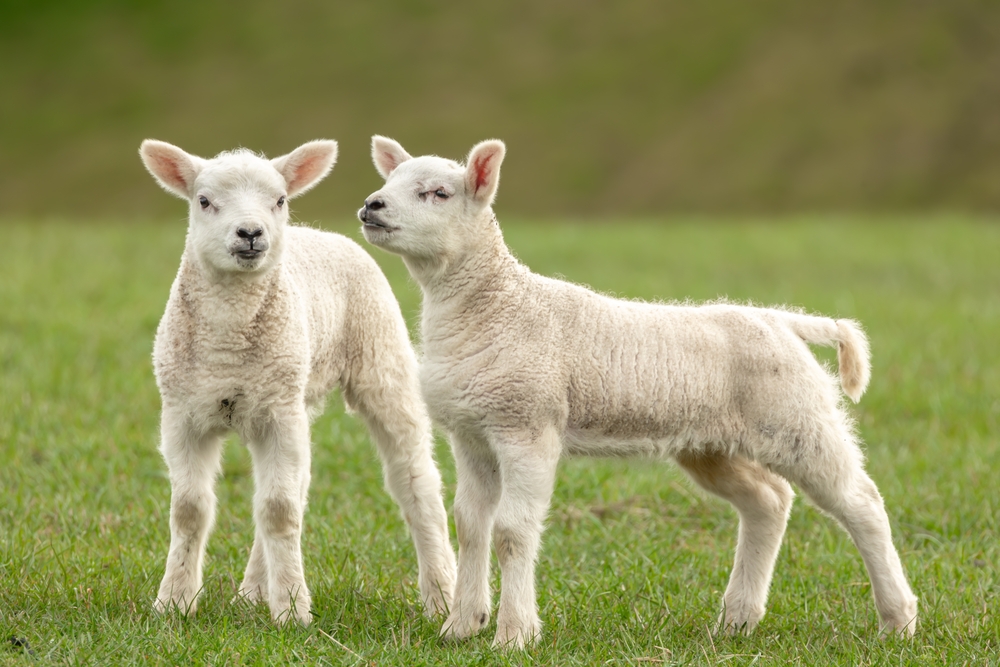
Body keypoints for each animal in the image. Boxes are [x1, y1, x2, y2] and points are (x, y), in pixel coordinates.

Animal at [138, 139, 456, 625]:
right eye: (204, 201)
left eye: (280, 200)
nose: (250, 233)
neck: (227, 345)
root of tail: (321, 233)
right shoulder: (183, 413)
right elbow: (190, 510)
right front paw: (174, 602)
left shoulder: (276, 415)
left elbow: (278, 510)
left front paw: (292, 610)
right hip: (293, 390)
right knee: (297, 485)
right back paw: (252, 592)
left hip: (379, 361)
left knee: (414, 478)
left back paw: (440, 597)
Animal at [356, 136, 918, 648]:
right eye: (391, 181)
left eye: (438, 193)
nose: (371, 205)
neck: (496, 304)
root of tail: (784, 321)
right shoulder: (472, 433)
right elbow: (472, 524)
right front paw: (461, 627)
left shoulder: (527, 425)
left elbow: (513, 531)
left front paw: (514, 635)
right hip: (710, 444)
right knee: (768, 500)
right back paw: (736, 621)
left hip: (797, 420)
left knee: (863, 503)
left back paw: (899, 619)